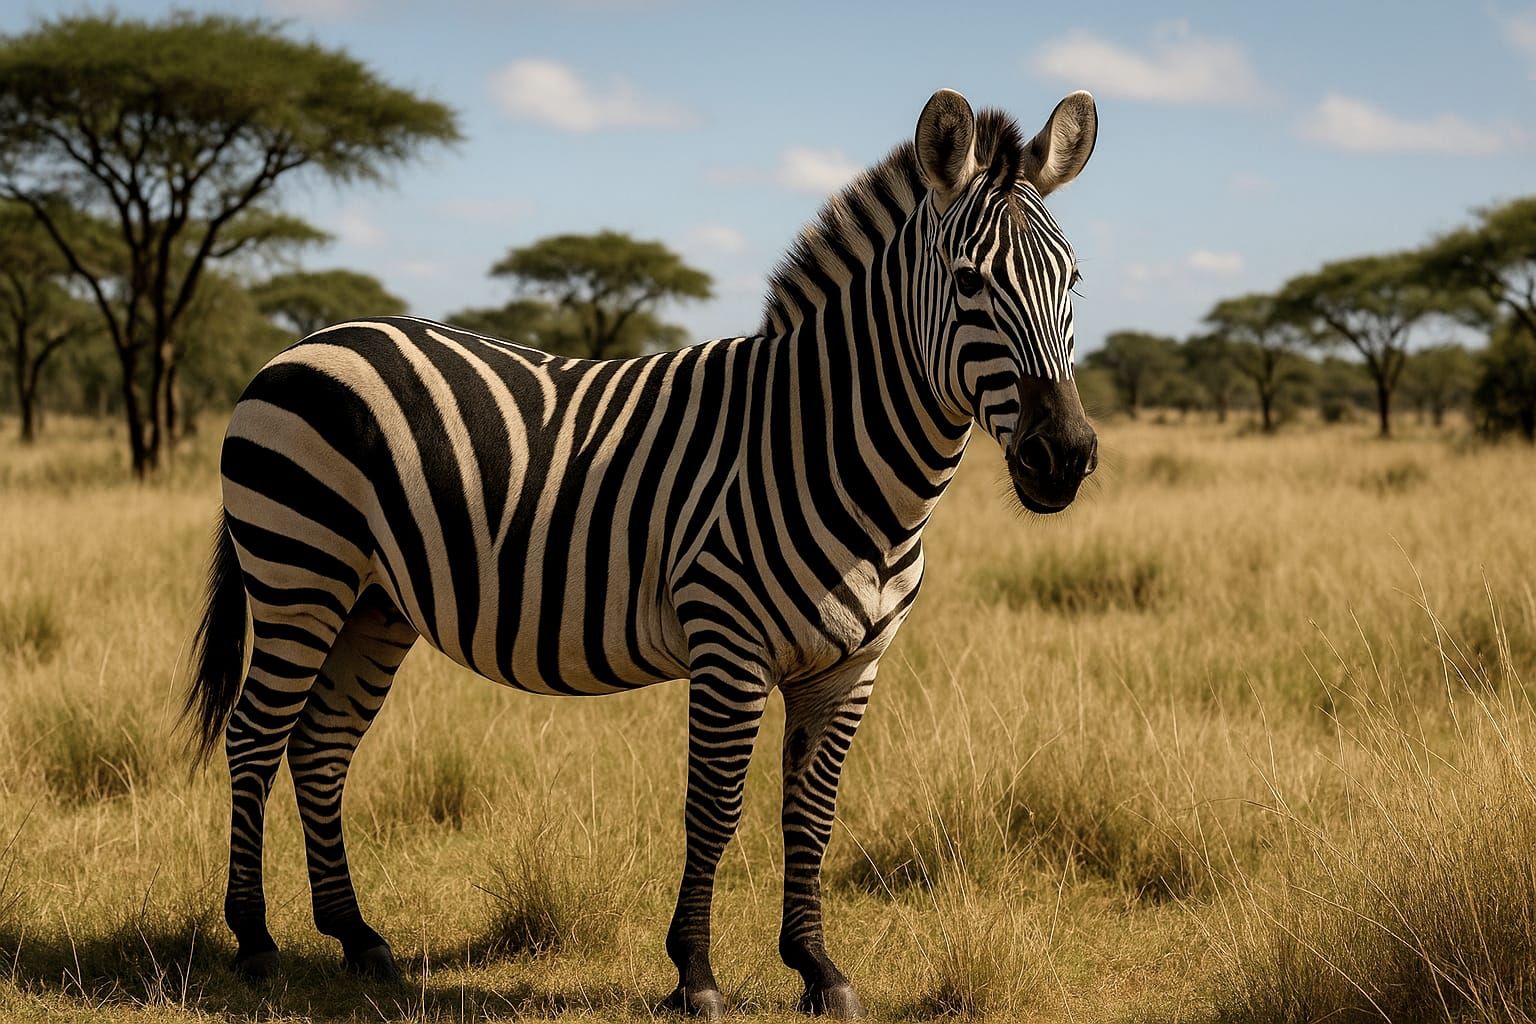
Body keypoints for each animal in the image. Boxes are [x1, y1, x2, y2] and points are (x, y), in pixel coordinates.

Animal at [185, 87, 1098, 1019]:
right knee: (255, 736)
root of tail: (305, 343)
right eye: (970, 283)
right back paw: (254, 941)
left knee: (320, 744)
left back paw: (358, 938)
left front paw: (818, 968)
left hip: (373, 601)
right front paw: (694, 974)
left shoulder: (851, 667)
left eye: (1072, 282)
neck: (827, 449)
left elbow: (812, 815)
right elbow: (715, 809)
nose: (1064, 456)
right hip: (299, 568)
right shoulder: (729, 644)